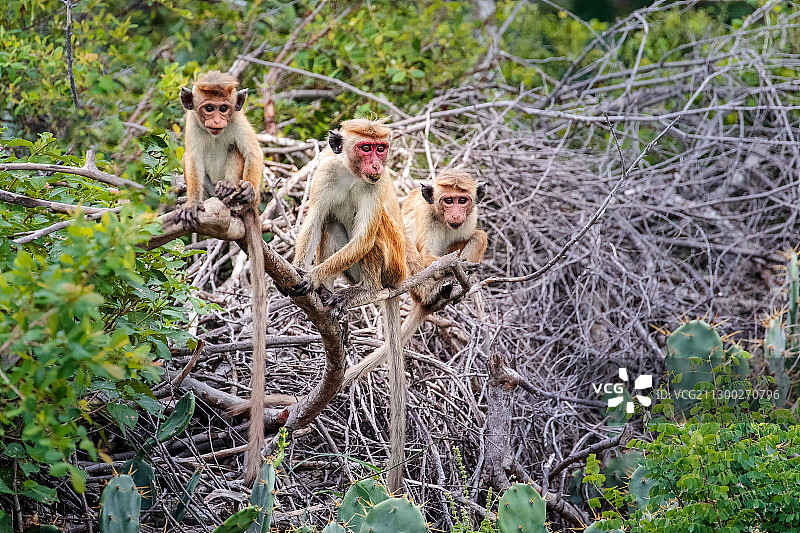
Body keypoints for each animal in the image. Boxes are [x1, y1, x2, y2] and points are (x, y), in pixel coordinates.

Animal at [290, 117, 410, 490]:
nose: (377, 164)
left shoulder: (376, 186)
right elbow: (316, 218)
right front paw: (301, 272)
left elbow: (363, 239)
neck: (352, 175)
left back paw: (363, 292)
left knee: (374, 235)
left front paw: (314, 277)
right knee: (331, 219)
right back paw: (329, 299)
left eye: (381, 148)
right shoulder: (326, 171)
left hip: (391, 268)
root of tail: (400, 280)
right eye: (365, 147)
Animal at [342, 169, 488, 386]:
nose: (456, 213)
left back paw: (451, 290)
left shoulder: (471, 217)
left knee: (480, 236)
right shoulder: (427, 216)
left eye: (462, 200)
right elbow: (426, 256)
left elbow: (474, 235)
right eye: (448, 200)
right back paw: (434, 293)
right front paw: (456, 267)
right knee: (405, 243)